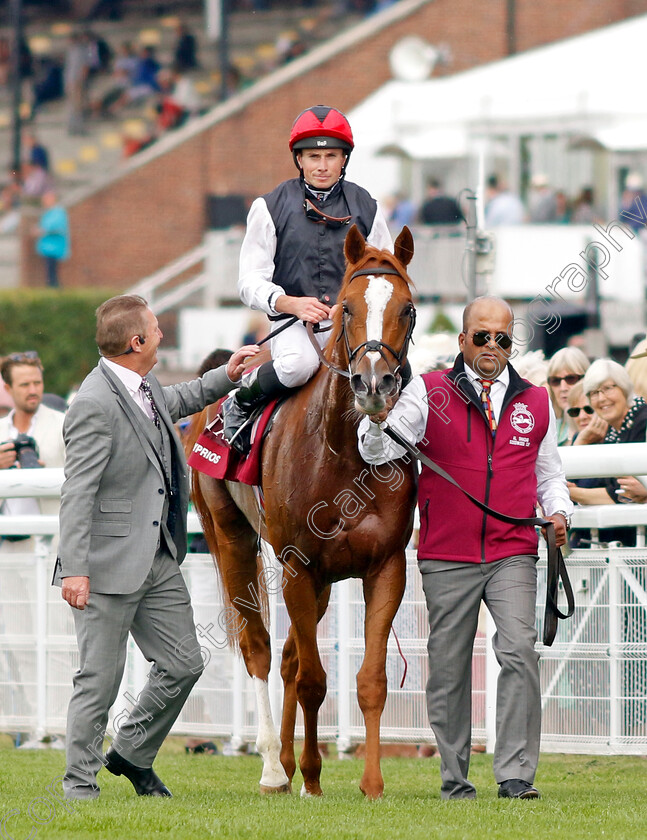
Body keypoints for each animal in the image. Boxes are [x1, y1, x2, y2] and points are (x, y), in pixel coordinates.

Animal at [190, 225, 418, 800]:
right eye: (344, 307)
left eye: (407, 308)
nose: (374, 385)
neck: (342, 451)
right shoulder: (298, 564)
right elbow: (313, 679)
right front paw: (312, 778)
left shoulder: (385, 566)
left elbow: (370, 680)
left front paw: (369, 783)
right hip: (232, 537)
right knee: (261, 649)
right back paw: (275, 767)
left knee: (292, 653)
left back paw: (293, 765)